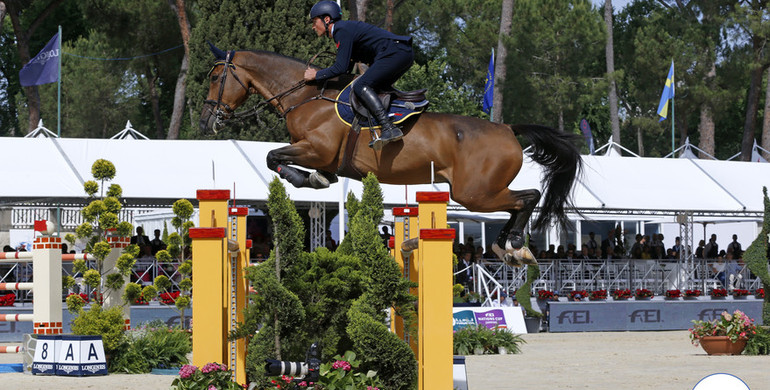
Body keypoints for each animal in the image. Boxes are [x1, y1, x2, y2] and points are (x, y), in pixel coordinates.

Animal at [201, 44, 580, 266]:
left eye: (217, 76)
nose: (206, 121)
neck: (305, 97)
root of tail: (507, 128)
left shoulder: (315, 149)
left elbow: (272, 157)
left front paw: (306, 179)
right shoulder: (316, 154)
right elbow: (283, 160)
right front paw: (319, 179)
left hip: (474, 193)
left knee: (527, 196)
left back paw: (515, 244)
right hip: (478, 192)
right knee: (519, 201)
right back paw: (507, 247)